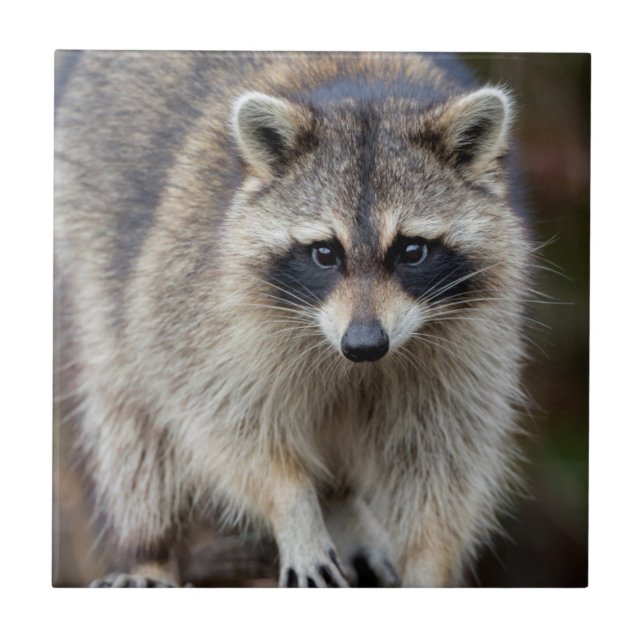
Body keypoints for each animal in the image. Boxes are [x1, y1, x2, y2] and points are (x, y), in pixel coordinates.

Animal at [54, 51, 531, 588]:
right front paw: (294, 508)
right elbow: (228, 426)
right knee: (130, 420)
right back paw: (150, 550)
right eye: (325, 253)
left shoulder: (471, 341)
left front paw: (429, 561)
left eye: (412, 251)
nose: (364, 344)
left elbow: (442, 459)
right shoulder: (198, 307)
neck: (364, 94)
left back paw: (341, 502)